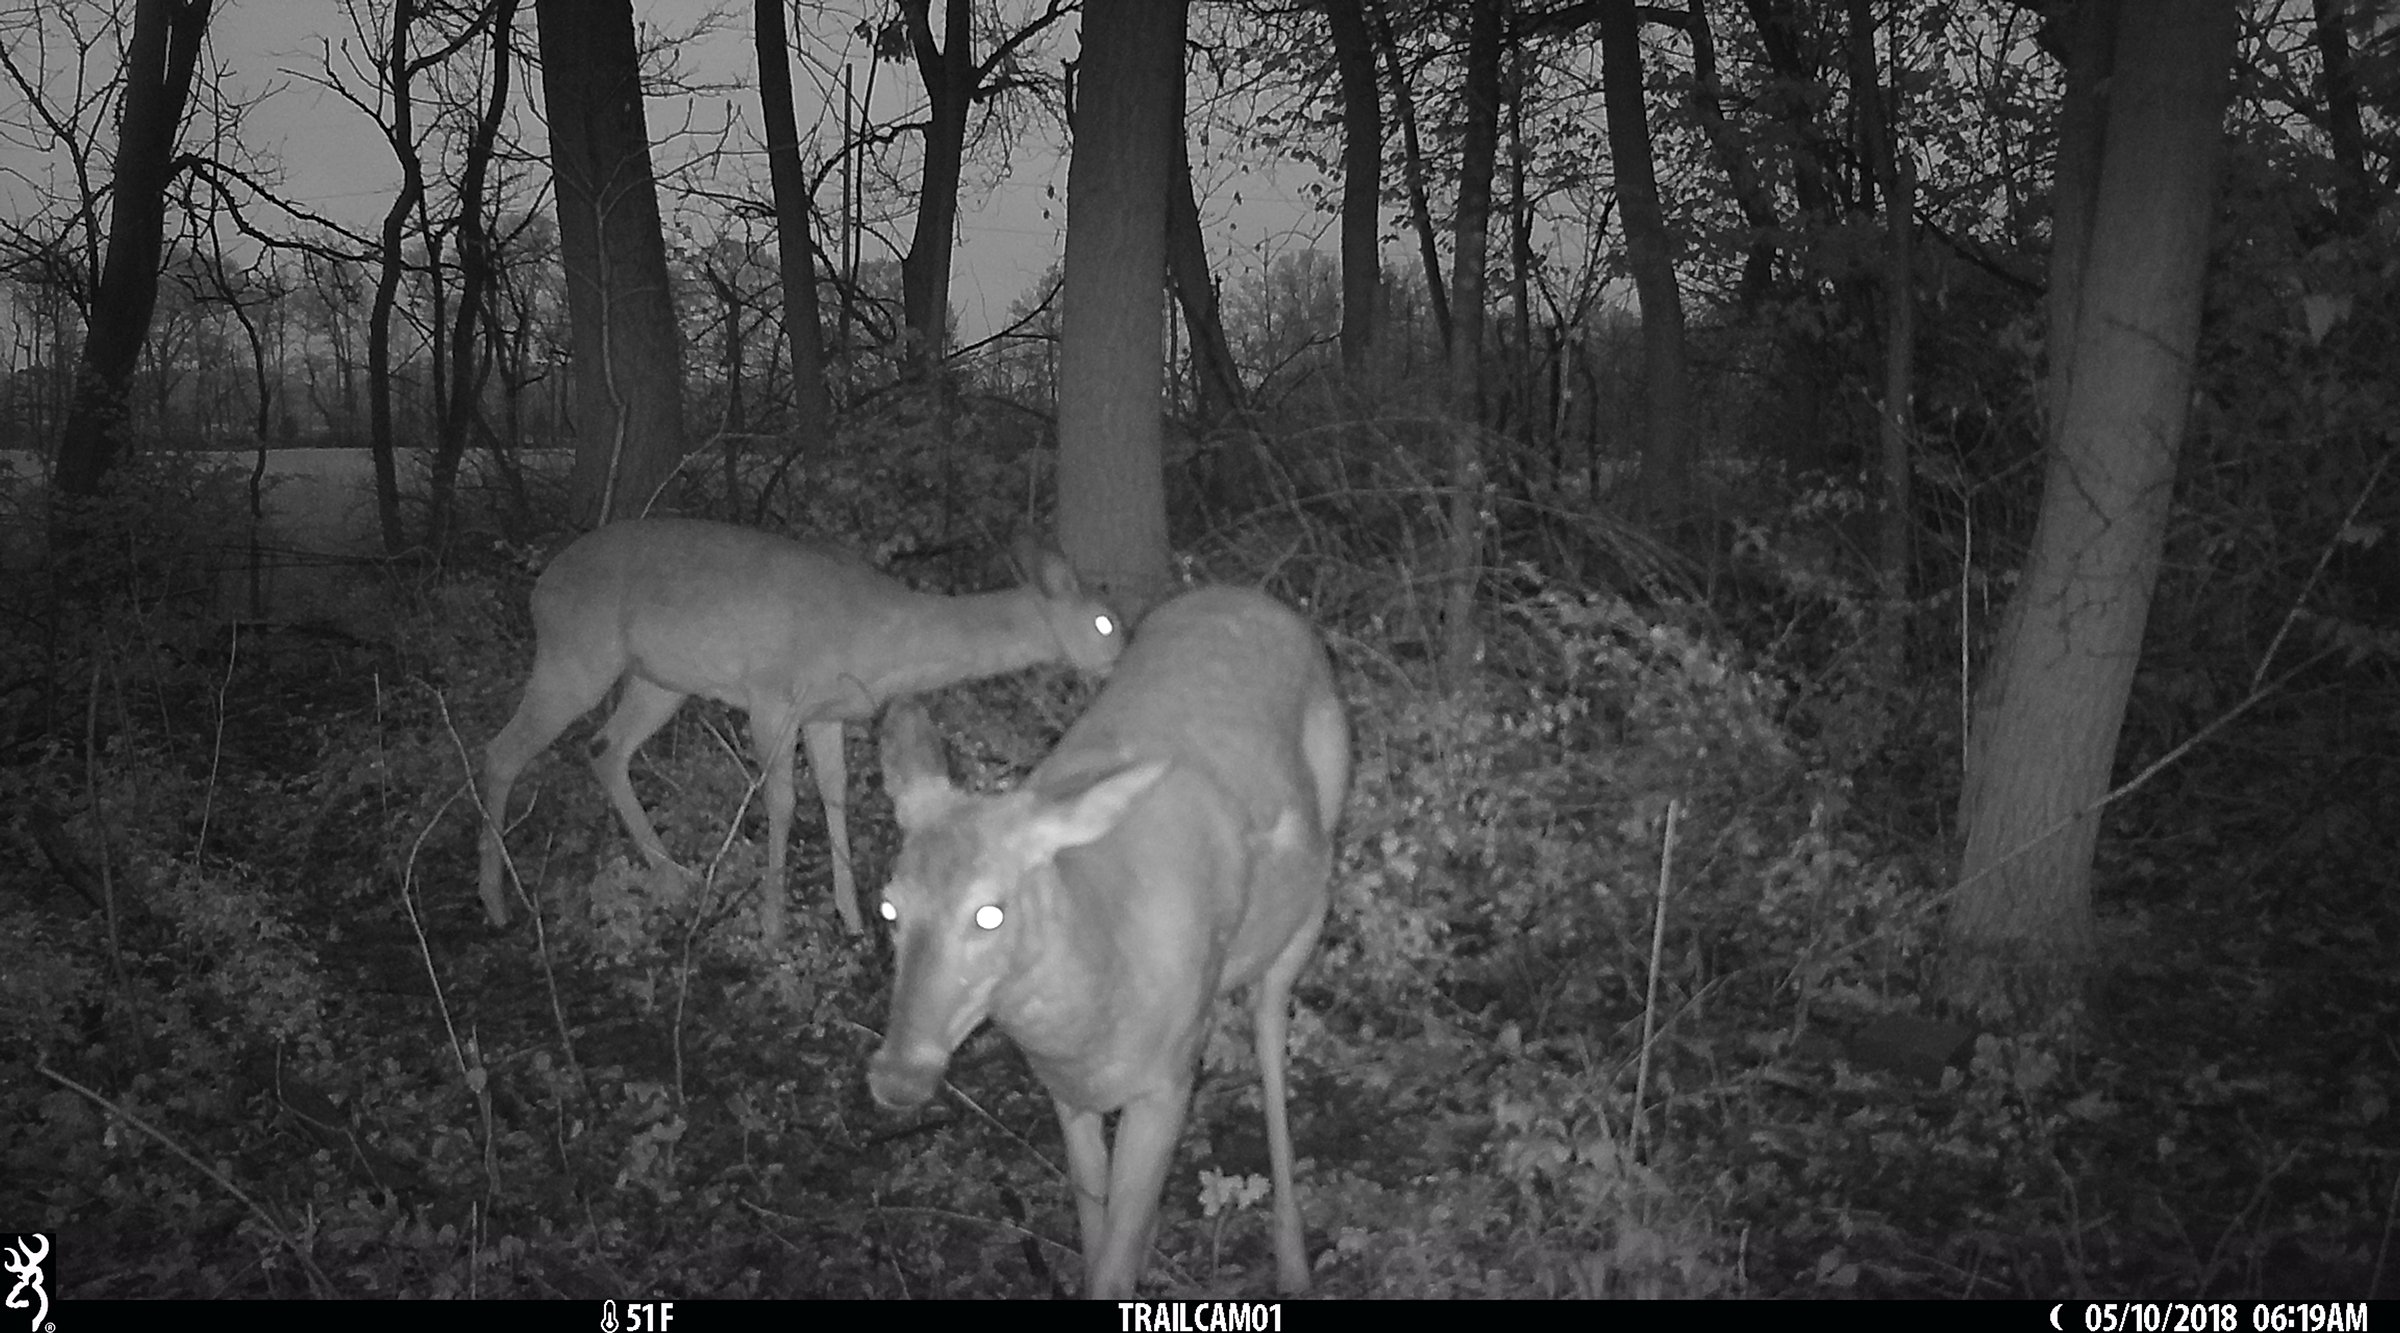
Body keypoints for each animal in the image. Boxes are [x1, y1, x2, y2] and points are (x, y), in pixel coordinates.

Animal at [475, 516, 1123, 939]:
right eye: (1104, 622)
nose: (1125, 667)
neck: (882, 636)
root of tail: (540, 587)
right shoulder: (772, 695)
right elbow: (782, 801)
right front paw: (773, 925)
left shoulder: (825, 711)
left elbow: (835, 794)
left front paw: (854, 917)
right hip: (575, 654)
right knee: (501, 751)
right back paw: (495, 899)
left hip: (659, 679)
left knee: (604, 748)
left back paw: (674, 874)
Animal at [868, 585, 1350, 1298]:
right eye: (888, 906)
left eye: (990, 913)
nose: (898, 1076)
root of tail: (1248, 596)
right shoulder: (1069, 1094)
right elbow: (1099, 1245)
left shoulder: (1165, 1083)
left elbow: (1114, 1268)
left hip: (1312, 890)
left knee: (1270, 1025)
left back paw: (1293, 1263)